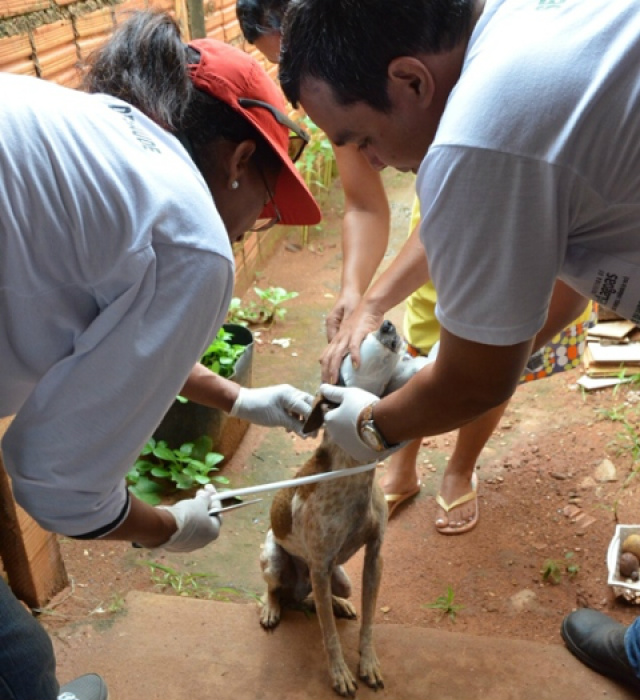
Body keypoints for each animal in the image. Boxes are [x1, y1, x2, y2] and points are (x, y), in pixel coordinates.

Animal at [258, 320, 420, 696]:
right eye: (350, 352)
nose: (387, 323)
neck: (354, 472)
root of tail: (296, 589)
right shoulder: (319, 566)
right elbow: (328, 635)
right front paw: (340, 674)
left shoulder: (374, 556)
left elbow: (368, 623)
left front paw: (368, 662)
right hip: (275, 561)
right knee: (274, 591)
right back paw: (272, 608)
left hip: (338, 577)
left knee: (322, 600)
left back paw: (339, 603)